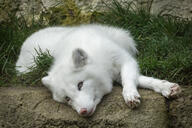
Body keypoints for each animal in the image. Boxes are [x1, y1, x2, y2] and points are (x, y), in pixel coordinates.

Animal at [15, 23, 181, 116]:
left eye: (80, 84)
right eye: (67, 99)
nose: (82, 112)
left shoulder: (126, 61)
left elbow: (133, 80)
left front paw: (133, 94)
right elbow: (138, 80)